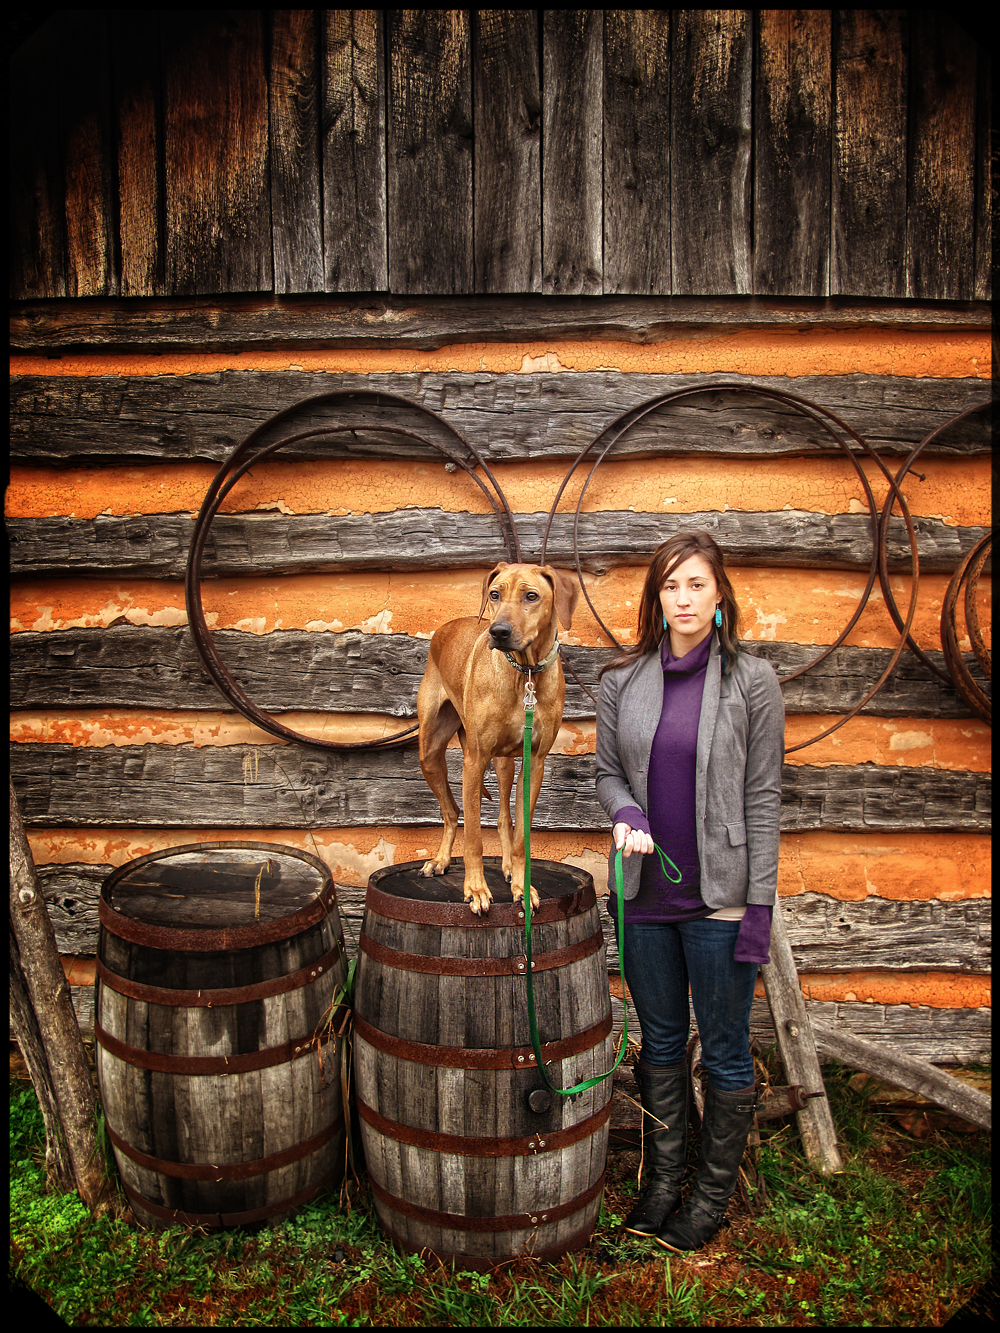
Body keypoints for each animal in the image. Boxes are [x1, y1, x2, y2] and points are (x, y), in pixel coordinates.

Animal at [416, 562, 578, 917]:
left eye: (531, 596)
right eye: (494, 594)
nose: (498, 631)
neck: (524, 673)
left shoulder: (535, 764)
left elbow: (521, 837)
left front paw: (521, 885)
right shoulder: (474, 761)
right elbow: (474, 838)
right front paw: (476, 889)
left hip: (504, 763)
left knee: (505, 817)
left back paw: (505, 867)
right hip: (430, 753)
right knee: (452, 812)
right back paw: (441, 860)